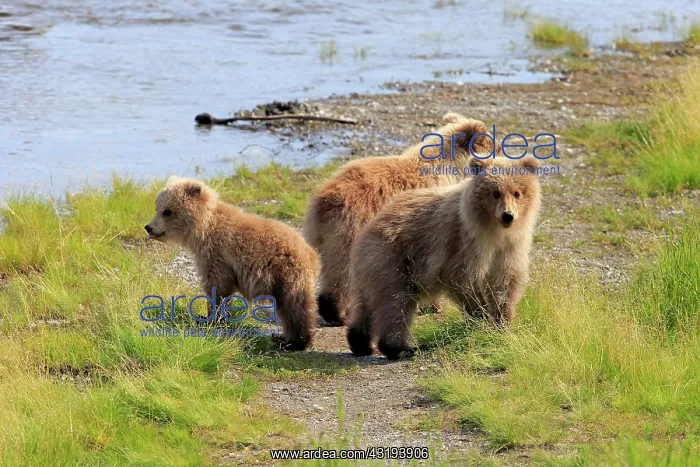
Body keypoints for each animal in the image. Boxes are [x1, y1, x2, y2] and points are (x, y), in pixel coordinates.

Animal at [144, 177, 319, 350]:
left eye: (167, 211)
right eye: (157, 207)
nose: (148, 227)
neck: (203, 228)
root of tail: (311, 253)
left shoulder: (217, 254)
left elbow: (218, 287)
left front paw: (207, 318)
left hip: (285, 274)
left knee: (294, 307)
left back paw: (295, 342)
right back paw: (282, 337)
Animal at [303, 113, 501, 326]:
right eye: (495, 145)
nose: (501, 150)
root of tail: (324, 201)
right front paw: (433, 304)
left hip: (324, 238)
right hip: (352, 229)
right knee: (344, 273)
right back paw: (340, 313)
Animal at [346, 155, 541, 360]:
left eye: (517, 193)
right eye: (495, 193)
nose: (507, 215)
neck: (492, 231)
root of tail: (367, 230)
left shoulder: (509, 248)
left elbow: (504, 282)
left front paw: (501, 323)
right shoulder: (461, 242)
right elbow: (462, 279)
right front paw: (481, 316)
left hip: (374, 266)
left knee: (366, 304)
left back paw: (360, 342)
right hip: (392, 259)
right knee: (395, 304)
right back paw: (398, 348)